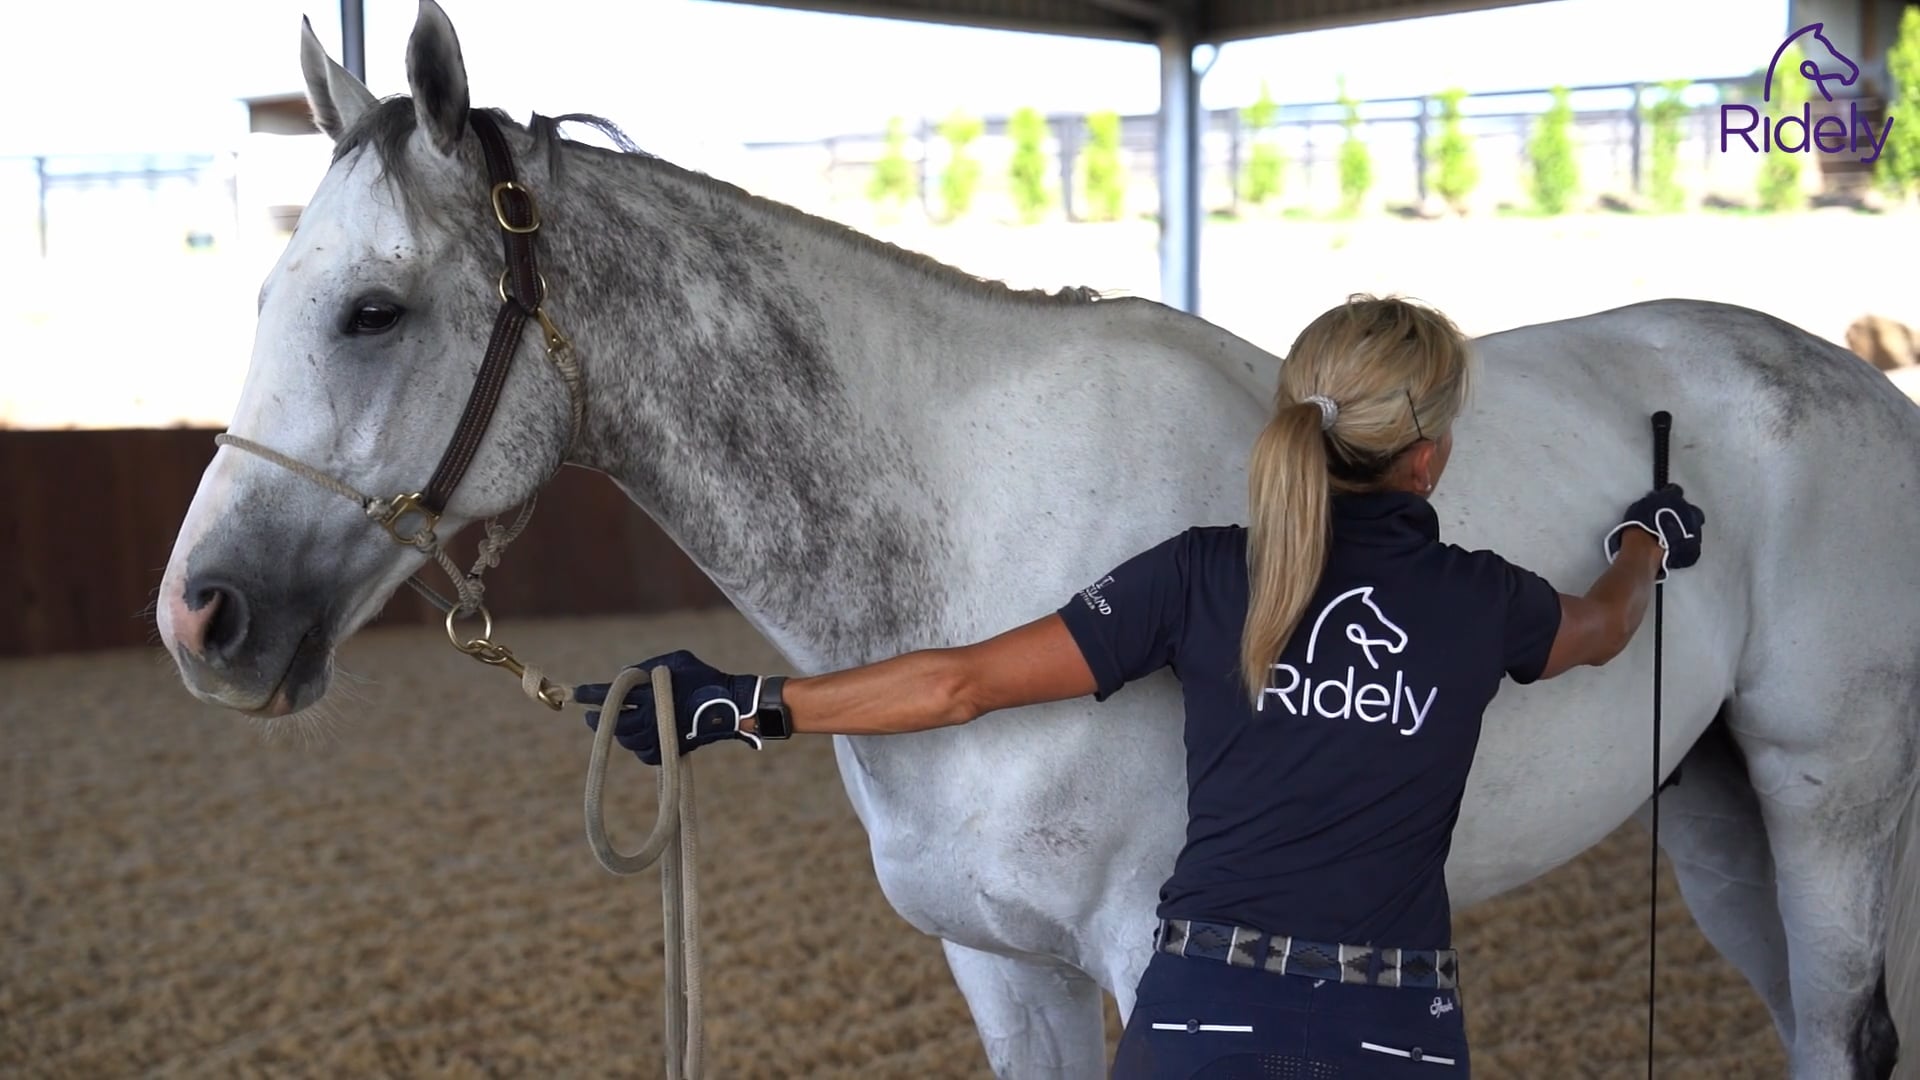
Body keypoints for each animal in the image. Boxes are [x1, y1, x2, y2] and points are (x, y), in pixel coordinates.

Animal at [157, 4, 1920, 1076]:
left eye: (372, 311)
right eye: (258, 291)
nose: (202, 618)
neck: (961, 537)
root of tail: (1858, 385)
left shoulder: (1155, 957)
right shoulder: (1002, 968)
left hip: (1825, 802)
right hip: (1714, 815)